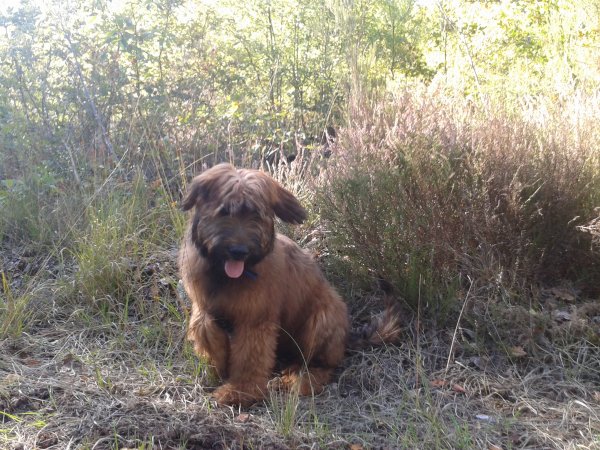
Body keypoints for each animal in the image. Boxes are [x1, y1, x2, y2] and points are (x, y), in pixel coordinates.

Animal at [180, 163, 398, 406]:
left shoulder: (256, 320)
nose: (239, 251)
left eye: (256, 214)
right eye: (224, 211)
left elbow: (249, 357)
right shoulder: (203, 305)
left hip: (320, 321)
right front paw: (218, 365)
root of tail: (346, 338)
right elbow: (205, 329)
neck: (226, 276)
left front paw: (240, 390)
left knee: (323, 365)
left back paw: (299, 380)